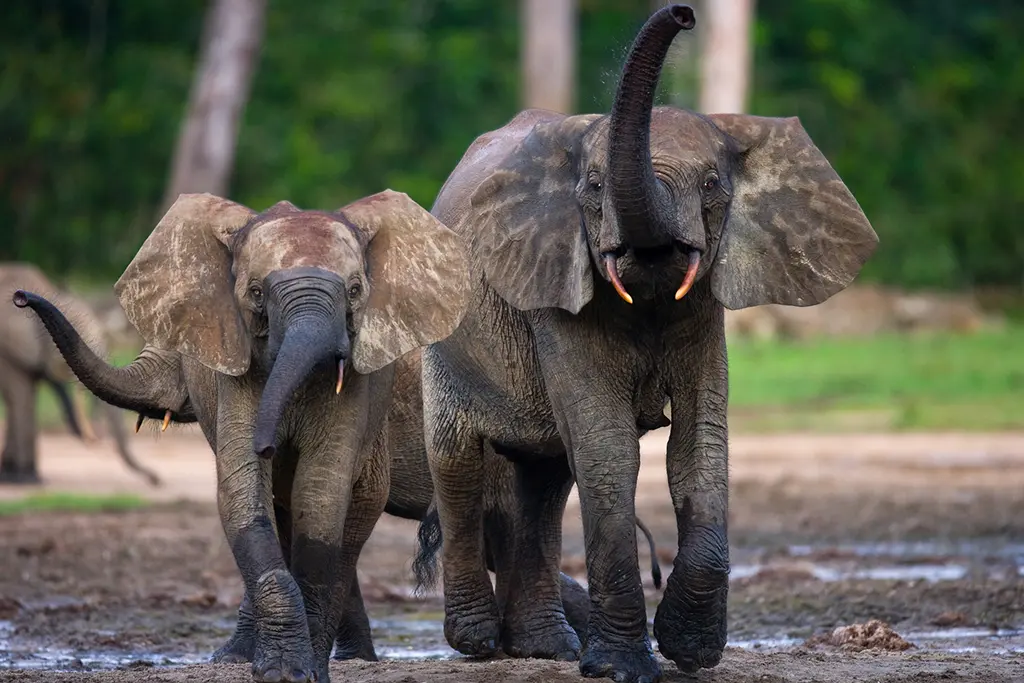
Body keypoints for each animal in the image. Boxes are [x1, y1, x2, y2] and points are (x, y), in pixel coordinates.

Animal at [0, 263, 159, 485]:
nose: (156, 480)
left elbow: (26, 396)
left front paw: (25, 476)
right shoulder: (7, 350)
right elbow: (20, 396)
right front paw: (24, 479)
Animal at [414, 5, 878, 682]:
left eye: (711, 183)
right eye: (594, 185)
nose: (683, 14)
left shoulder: (704, 311)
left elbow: (699, 447)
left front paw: (690, 651)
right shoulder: (557, 288)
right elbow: (611, 452)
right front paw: (622, 668)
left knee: (545, 482)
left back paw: (546, 647)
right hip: (444, 343)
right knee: (459, 464)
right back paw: (477, 643)